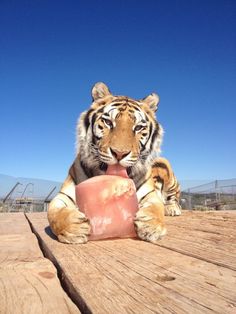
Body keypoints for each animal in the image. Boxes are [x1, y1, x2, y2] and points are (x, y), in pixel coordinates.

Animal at [47, 83, 181, 245]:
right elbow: (54, 212)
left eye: (138, 128)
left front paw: (151, 227)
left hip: (165, 166)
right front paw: (75, 228)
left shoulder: (150, 196)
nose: (119, 153)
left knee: (173, 197)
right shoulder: (63, 196)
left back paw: (172, 209)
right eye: (108, 122)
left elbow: (156, 208)